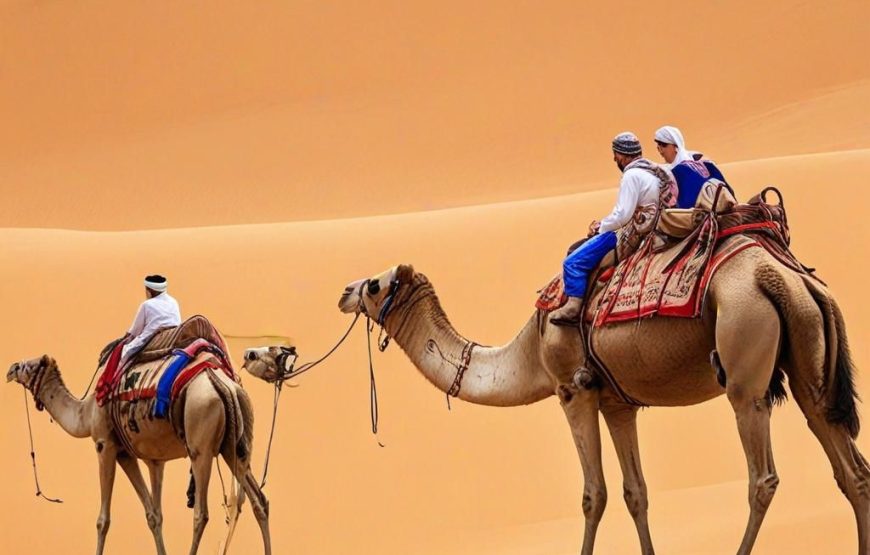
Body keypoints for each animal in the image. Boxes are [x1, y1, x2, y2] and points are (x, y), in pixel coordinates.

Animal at [5, 354, 272, 552]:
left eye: (28, 365)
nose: (10, 369)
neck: (86, 412)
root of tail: (224, 385)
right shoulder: (142, 457)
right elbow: (154, 515)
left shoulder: (105, 445)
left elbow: (103, 520)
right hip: (235, 443)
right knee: (259, 500)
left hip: (201, 445)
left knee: (201, 513)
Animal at [316, 262, 864, 555]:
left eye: (375, 284)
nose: (343, 291)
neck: (528, 351)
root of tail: (784, 277)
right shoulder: (618, 403)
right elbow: (636, 492)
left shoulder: (572, 390)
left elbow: (593, 495)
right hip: (808, 359)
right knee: (851, 468)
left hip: (745, 365)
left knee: (762, 477)